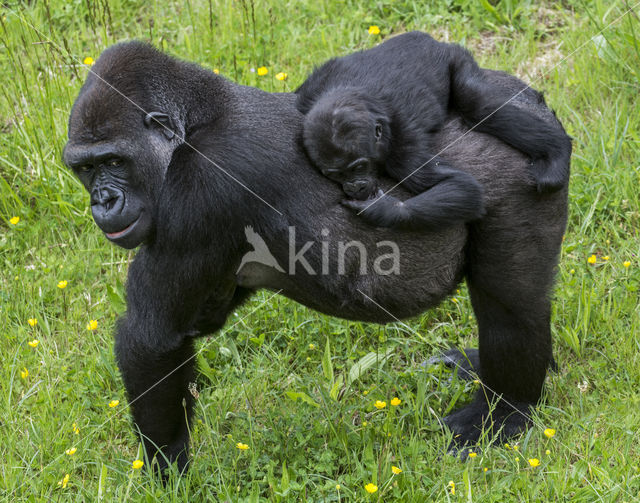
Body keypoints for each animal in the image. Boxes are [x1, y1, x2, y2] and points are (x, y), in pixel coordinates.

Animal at [298, 29, 572, 230]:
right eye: (335, 174)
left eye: (358, 167)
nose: (354, 187)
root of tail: (429, 39)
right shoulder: (306, 95)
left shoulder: (403, 150)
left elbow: (462, 187)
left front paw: (382, 210)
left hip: (456, 58)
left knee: (479, 105)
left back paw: (557, 152)